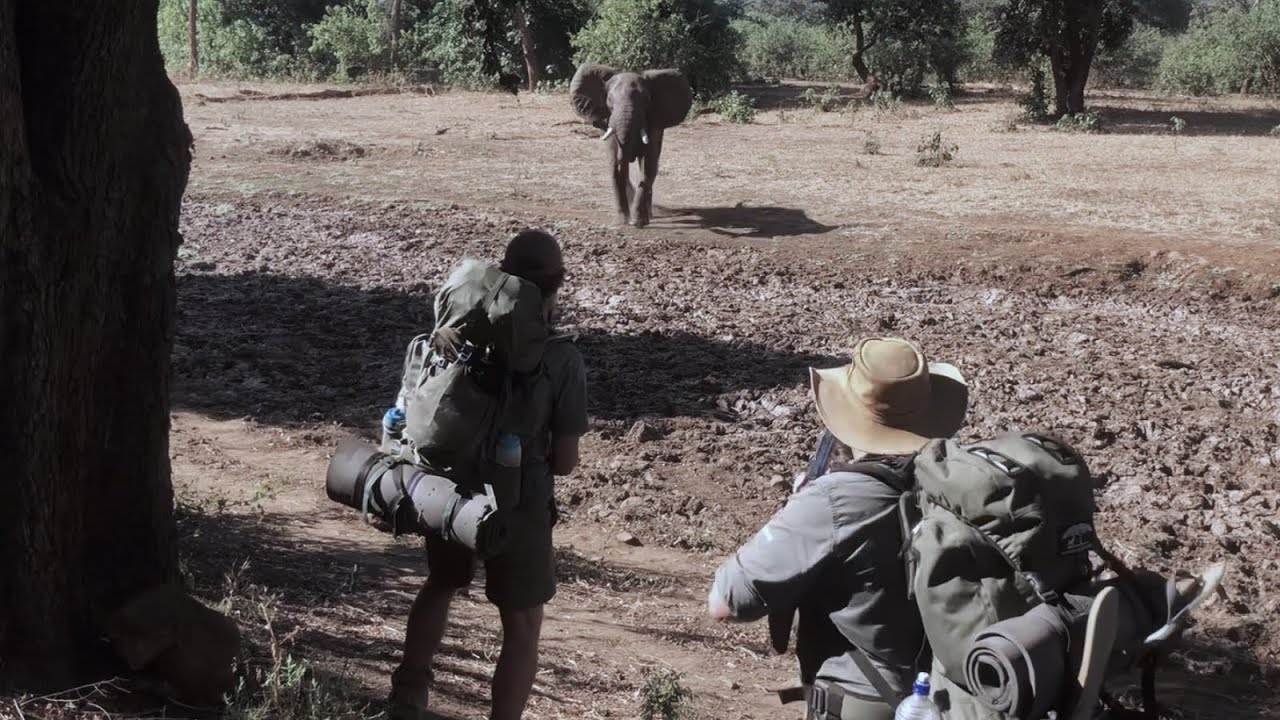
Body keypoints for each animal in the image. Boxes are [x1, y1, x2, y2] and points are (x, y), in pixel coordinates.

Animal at [570, 64, 692, 228]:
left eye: (647, 100)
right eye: (609, 99)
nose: (630, 219)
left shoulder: (653, 127)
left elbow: (648, 167)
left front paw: (639, 222)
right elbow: (615, 166)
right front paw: (623, 221)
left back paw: (649, 214)